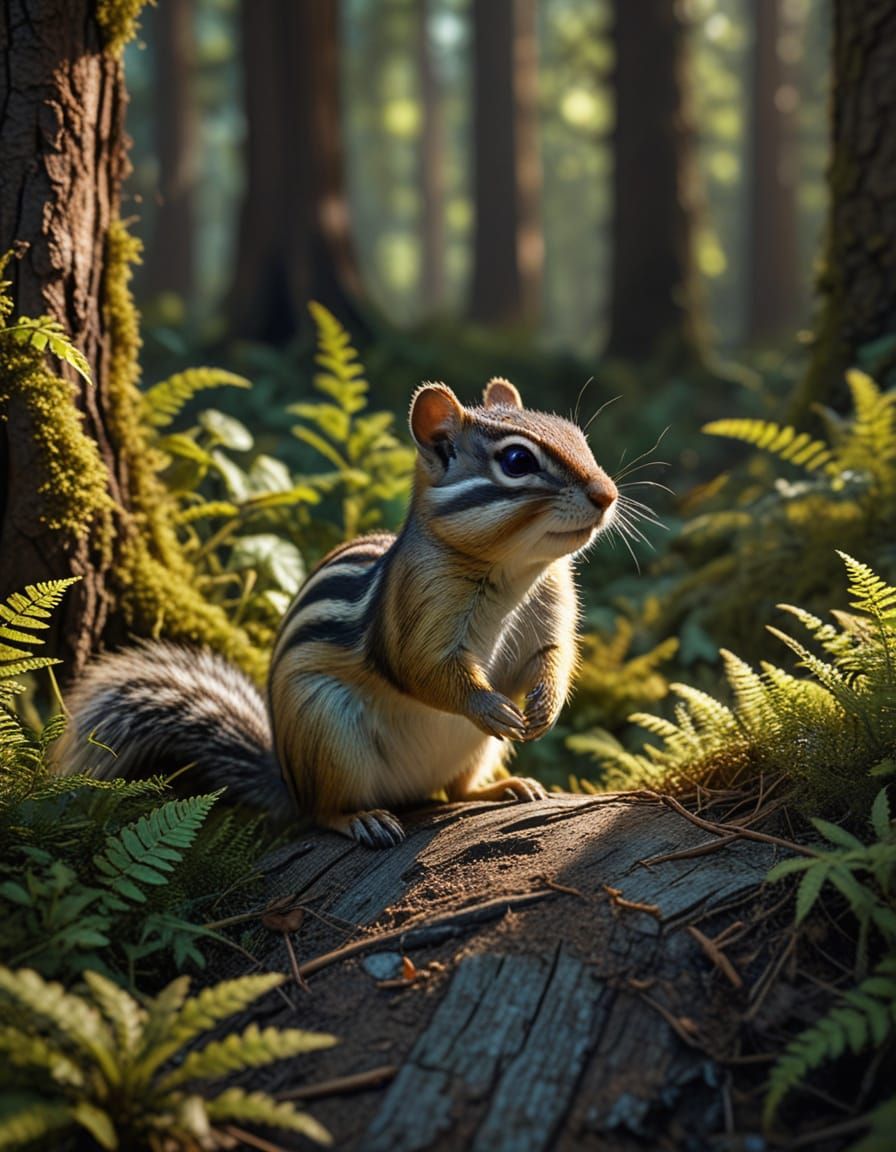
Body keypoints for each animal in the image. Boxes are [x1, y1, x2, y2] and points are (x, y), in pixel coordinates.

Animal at [56, 378, 618, 848]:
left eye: (580, 438)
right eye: (518, 460)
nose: (607, 493)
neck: (514, 572)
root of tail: (288, 782)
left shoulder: (552, 605)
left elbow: (551, 656)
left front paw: (546, 705)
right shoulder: (414, 609)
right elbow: (422, 670)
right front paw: (490, 705)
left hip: (473, 751)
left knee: (454, 792)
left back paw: (503, 788)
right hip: (326, 731)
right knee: (323, 812)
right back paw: (361, 819)